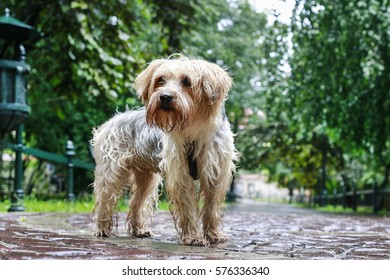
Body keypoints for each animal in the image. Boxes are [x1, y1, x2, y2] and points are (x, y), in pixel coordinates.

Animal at [91, 54, 236, 245]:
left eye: (187, 81)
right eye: (161, 80)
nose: (165, 97)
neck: (194, 129)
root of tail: (110, 121)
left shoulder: (215, 173)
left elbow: (211, 209)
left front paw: (213, 235)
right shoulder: (180, 175)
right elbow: (188, 208)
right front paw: (193, 237)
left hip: (146, 178)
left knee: (136, 203)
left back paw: (139, 230)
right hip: (111, 174)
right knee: (104, 201)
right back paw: (102, 229)